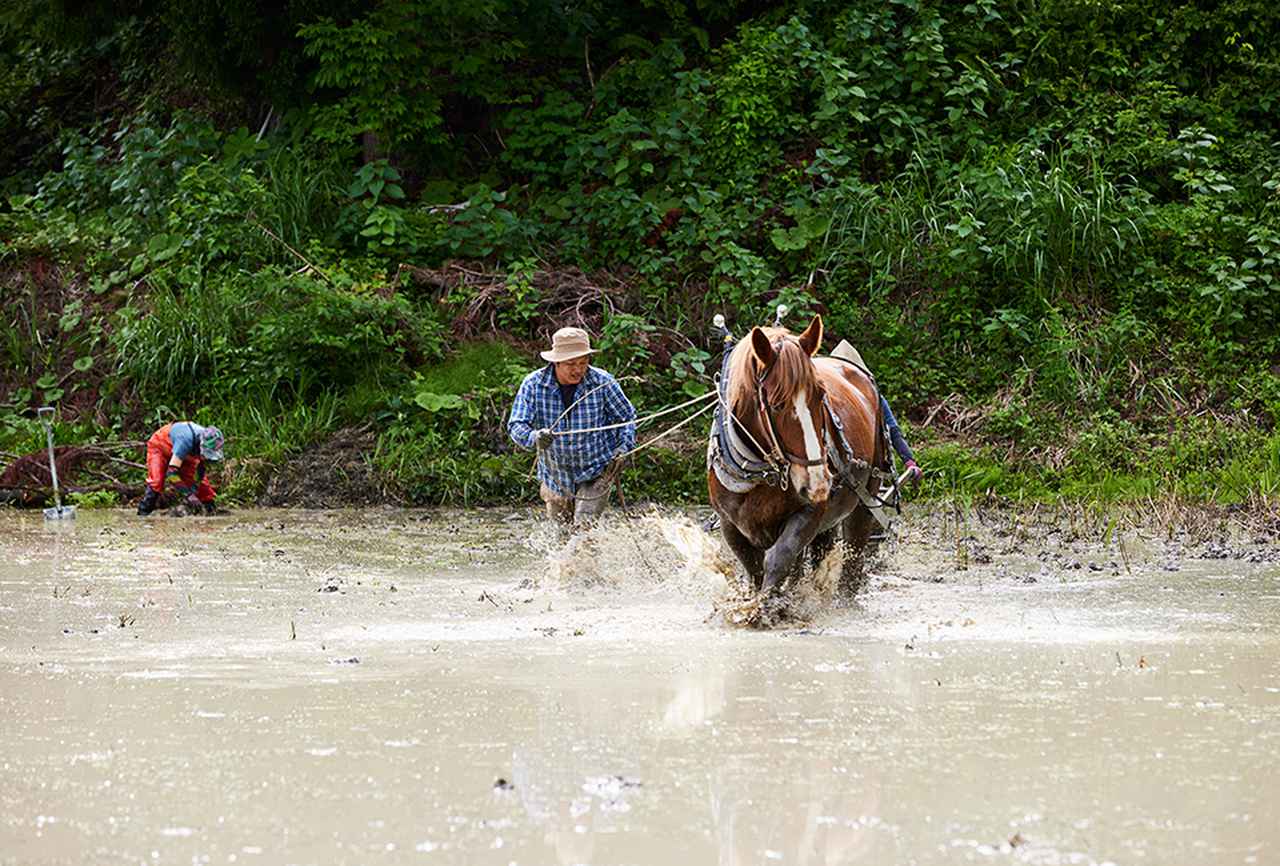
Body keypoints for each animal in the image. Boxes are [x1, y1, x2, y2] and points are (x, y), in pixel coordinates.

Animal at [707, 314, 887, 599]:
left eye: (821, 395)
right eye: (777, 405)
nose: (818, 483)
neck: (763, 473)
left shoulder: (810, 511)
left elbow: (780, 559)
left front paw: (769, 604)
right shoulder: (730, 524)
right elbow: (754, 568)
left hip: (865, 496)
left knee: (854, 552)